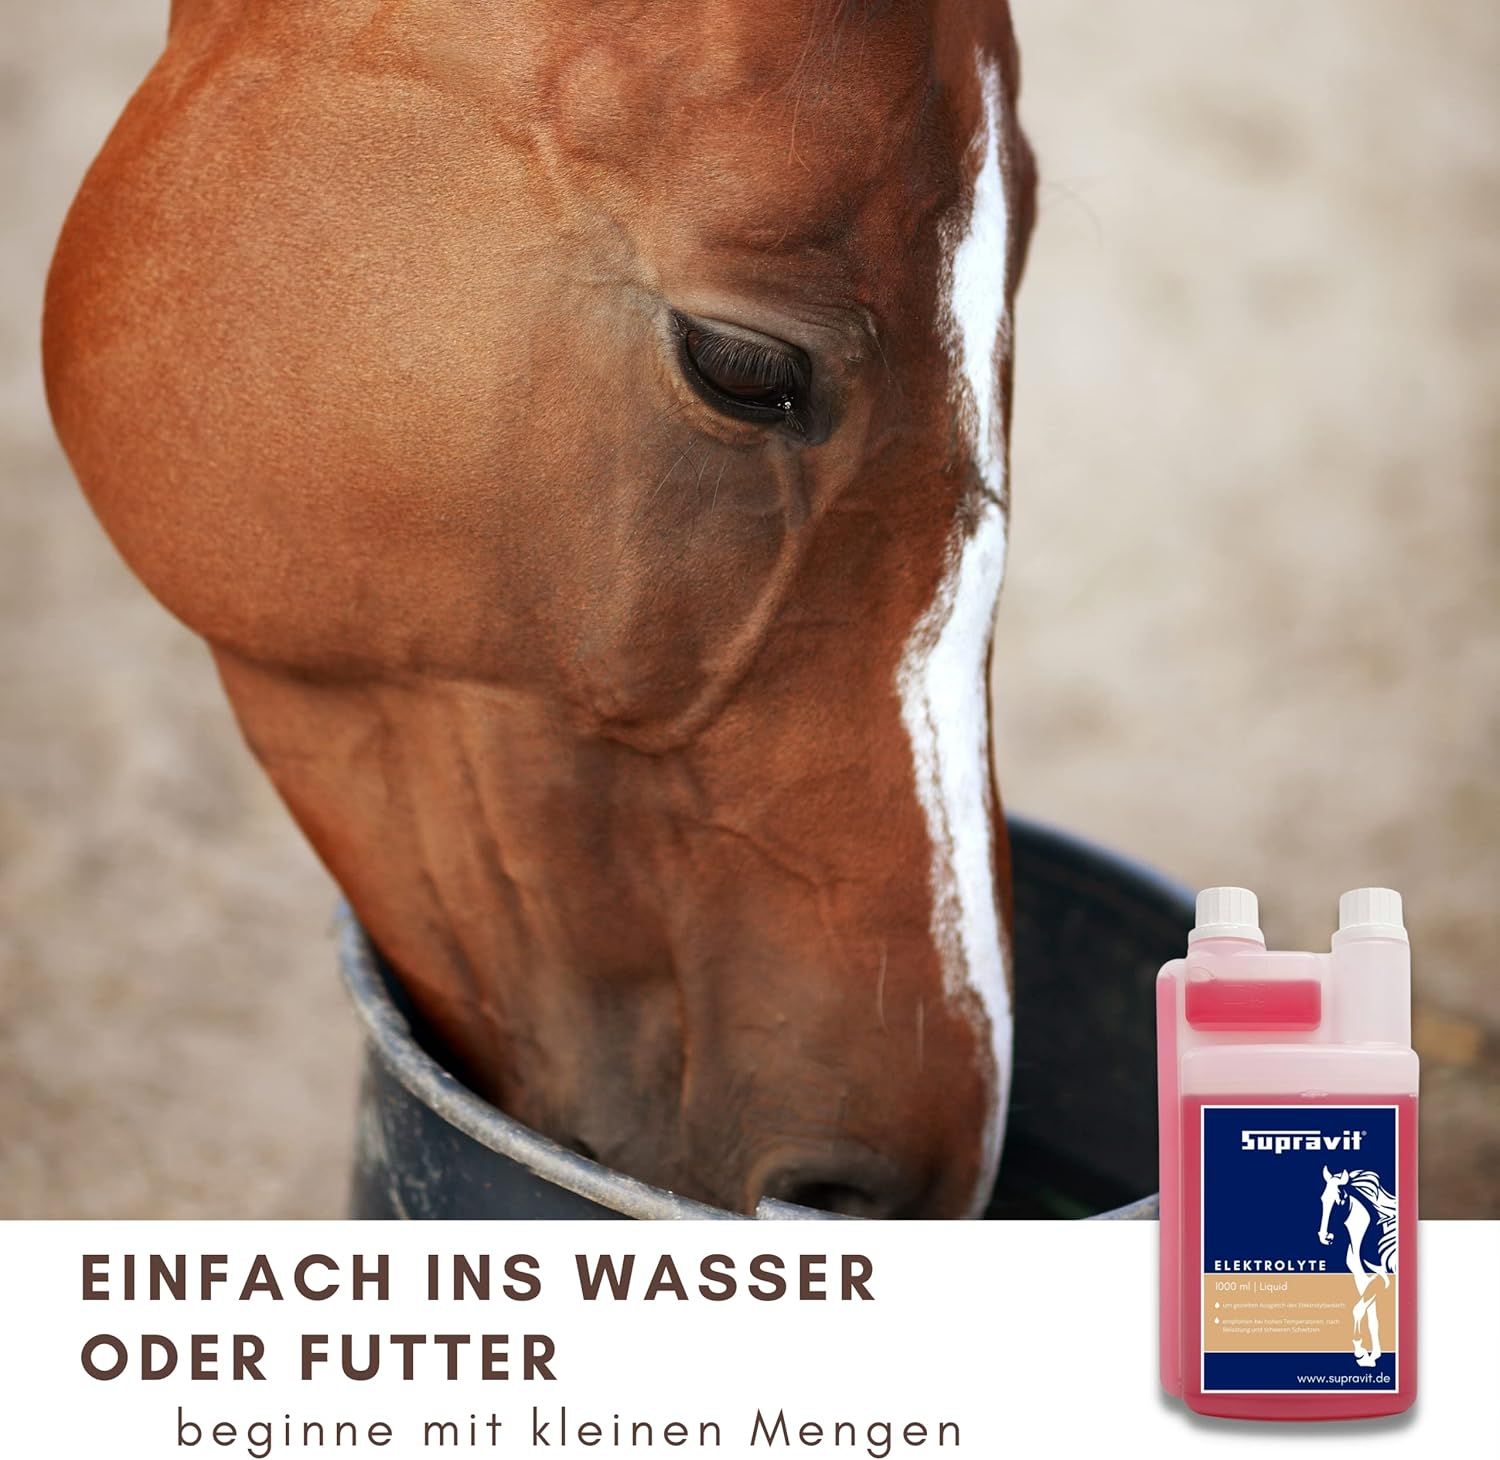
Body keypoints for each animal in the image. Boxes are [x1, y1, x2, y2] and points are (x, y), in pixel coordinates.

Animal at [1317, 1165, 1398, 1366]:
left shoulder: (1383, 1280)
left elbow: (1357, 1310)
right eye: (1322, 1199)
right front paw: (1372, 1354)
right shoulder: (1362, 1280)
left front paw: (1361, 1352)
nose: (1324, 1237)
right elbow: (1371, 1318)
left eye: (1339, 1201)